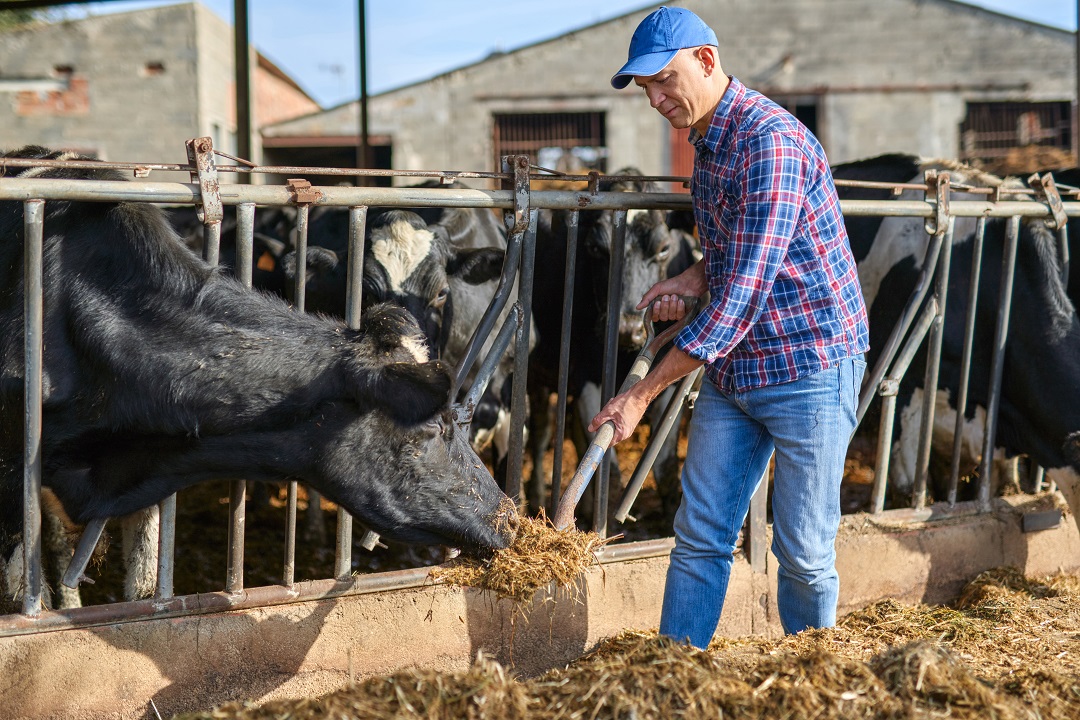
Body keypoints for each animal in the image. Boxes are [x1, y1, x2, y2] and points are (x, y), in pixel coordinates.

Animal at [529, 169, 699, 524]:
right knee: (539, 431)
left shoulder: (664, 383)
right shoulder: (585, 377)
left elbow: (664, 465)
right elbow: (609, 472)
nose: (627, 329)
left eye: (664, 249)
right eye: (595, 249)